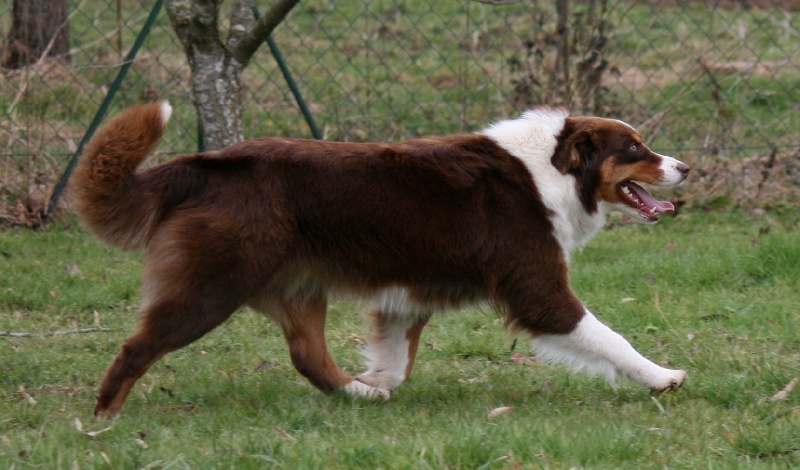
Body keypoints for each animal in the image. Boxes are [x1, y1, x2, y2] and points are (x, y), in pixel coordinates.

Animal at [72, 102, 692, 418]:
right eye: (634, 149)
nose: (685, 168)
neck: (552, 169)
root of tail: (205, 165)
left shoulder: (406, 295)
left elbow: (397, 359)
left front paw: (377, 379)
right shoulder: (538, 289)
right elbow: (610, 338)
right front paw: (663, 377)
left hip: (299, 287)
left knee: (308, 357)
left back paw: (360, 393)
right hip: (211, 287)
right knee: (137, 346)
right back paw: (103, 421)